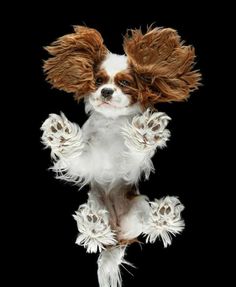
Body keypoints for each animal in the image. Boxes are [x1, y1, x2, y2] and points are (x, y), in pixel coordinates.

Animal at [41, 25, 201, 287]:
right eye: (98, 81)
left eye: (124, 83)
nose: (106, 91)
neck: (110, 123)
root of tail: (117, 234)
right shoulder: (88, 163)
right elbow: (76, 155)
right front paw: (60, 135)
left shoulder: (128, 165)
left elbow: (134, 151)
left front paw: (146, 132)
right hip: (94, 203)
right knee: (96, 235)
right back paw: (93, 225)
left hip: (138, 209)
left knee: (150, 224)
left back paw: (164, 215)